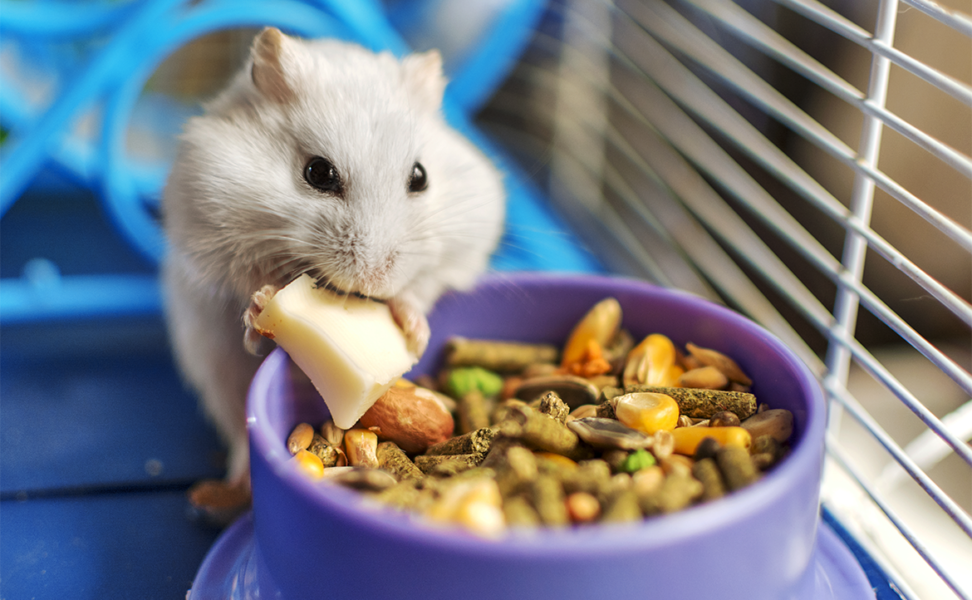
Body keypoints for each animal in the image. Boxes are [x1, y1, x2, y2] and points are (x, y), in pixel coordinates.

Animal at [161, 27, 505, 509]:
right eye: (317, 173)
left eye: (420, 177)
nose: (374, 281)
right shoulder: (209, 234)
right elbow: (246, 283)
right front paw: (263, 305)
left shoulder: (463, 246)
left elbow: (420, 289)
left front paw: (414, 333)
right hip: (214, 368)